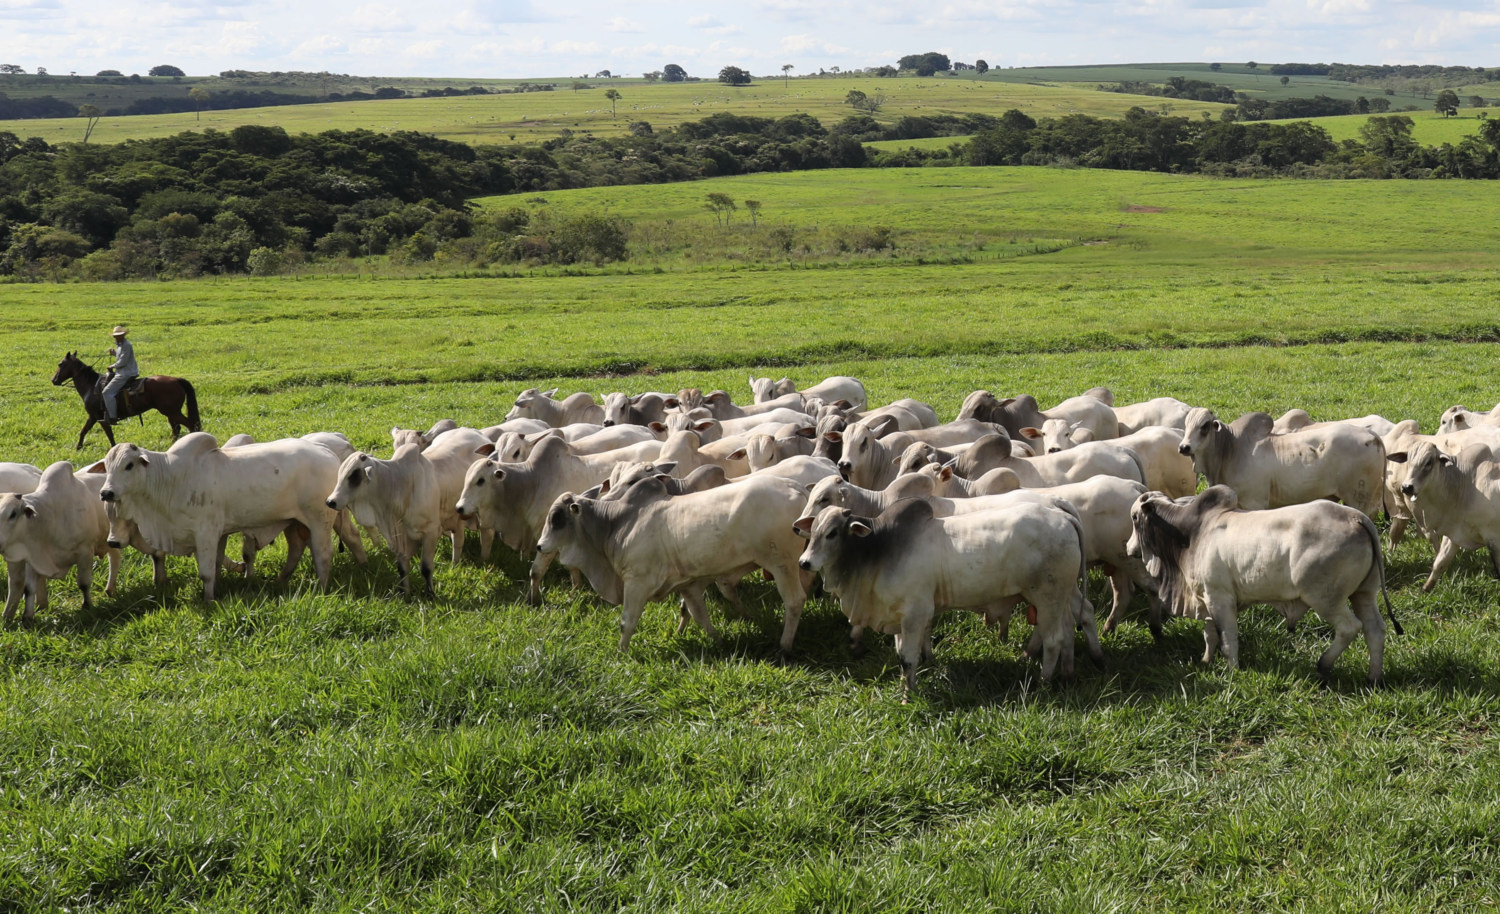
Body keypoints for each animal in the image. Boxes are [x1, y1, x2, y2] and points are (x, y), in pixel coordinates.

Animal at [51, 349, 201, 450]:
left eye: (60, 364)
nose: (54, 380)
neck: (91, 386)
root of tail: (177, 380)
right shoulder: (92, 417)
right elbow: (84, 431)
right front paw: (78, 448)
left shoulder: (99, 417)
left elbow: (109, 434)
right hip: (171, 413)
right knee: (176, 428)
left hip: (172, 412)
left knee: (190, 425)